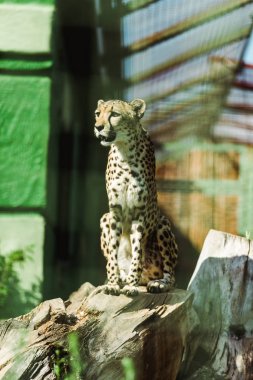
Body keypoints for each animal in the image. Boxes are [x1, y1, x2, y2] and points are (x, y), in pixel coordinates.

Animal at [94, 98, 178, 296]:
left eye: (114, 114)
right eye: (97, 113)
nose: (98, 127)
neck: (124, 151)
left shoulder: (139, 213)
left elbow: (137, 250)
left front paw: (131, 285)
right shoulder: (114, 213)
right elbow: (113, 253)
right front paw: (113, 283)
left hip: (162, 224)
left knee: (170, 274)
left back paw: (157, 283)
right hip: (104, 218)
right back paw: (121, 278)